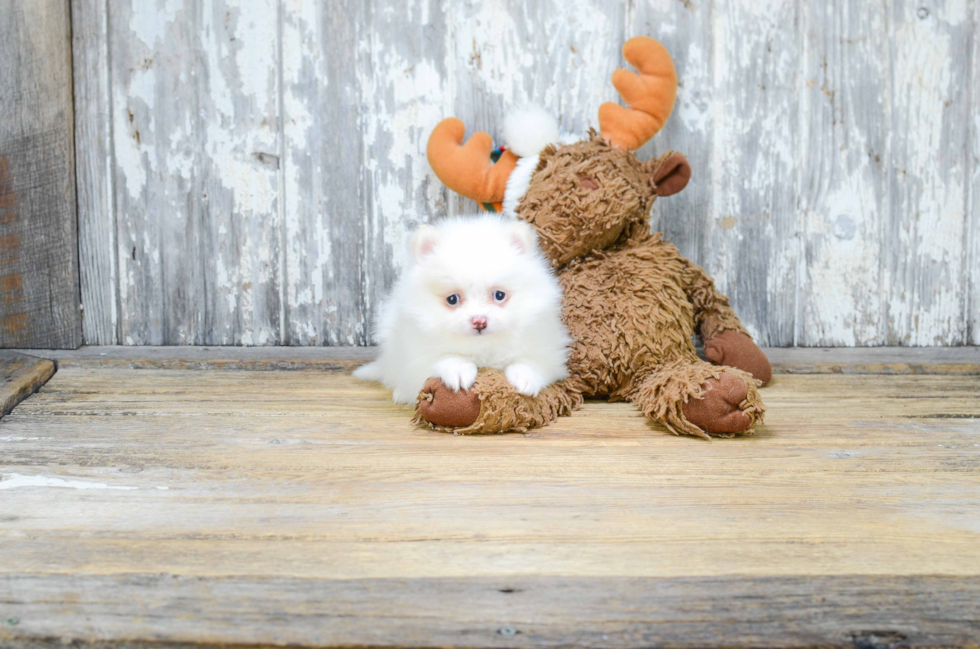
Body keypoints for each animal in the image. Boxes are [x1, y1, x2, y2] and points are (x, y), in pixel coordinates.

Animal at [354, 215, 572, 402]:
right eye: (452, 299)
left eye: (499, 295)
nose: (479, 321)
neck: (482, 348)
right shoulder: (418, 356)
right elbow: (447, 357)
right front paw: (459, 370)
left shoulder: (546, 347)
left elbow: (532, 361)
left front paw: (525, 378)